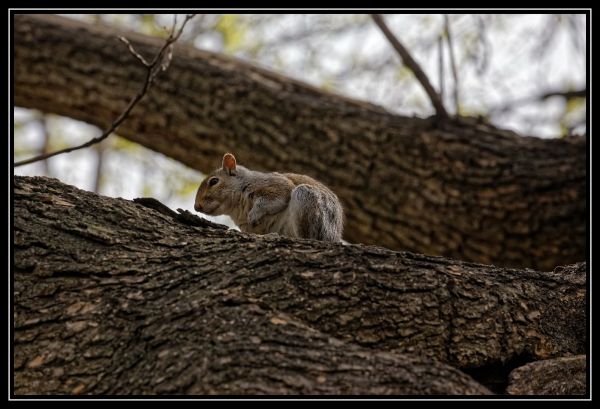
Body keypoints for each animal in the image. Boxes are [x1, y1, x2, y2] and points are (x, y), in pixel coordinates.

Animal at [192, 153, 342, 242]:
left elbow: (274, 198)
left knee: (309, 237)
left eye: (214, 181)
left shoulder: (275, 186)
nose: (196, 206)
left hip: (308, 200)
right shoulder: (244, 225)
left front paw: (254, 214)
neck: (236, 208)